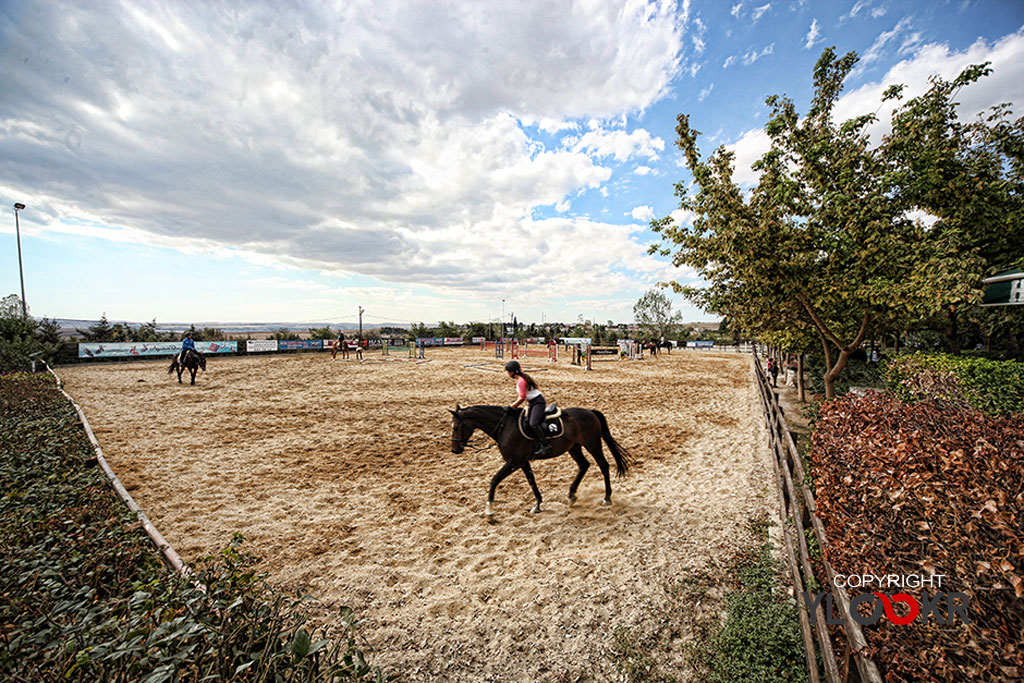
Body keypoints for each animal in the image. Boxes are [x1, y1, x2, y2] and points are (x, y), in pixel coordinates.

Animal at [450, 405, 630, 518]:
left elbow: (495, 480)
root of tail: (590, 412)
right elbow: (532, 481)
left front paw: (489, 511)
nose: (454, 450)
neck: (505, 427)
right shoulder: (522, 462)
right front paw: (537, 505)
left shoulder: (514, 461)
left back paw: (607, 497)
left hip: (592, 444)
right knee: (584, 465)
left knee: (603, 465)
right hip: (574, 447)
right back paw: (572, 494)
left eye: (456, 427)